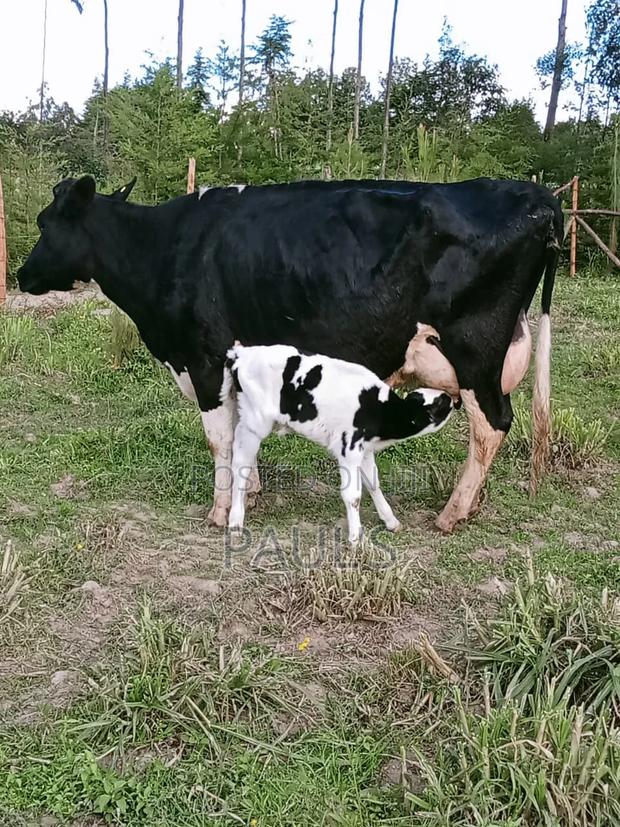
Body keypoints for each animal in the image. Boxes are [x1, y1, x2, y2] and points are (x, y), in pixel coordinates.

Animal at [222, 343, 455, 544]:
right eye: (438, 404)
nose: (453, 399)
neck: (381, 410)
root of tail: (240, 354)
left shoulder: (365, 450)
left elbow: (373, 483)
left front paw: (391, 522)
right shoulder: (348, 448)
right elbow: (353, 495)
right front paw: (355, 539)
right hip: (254, 423)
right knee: (240, 464)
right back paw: (235, 523)